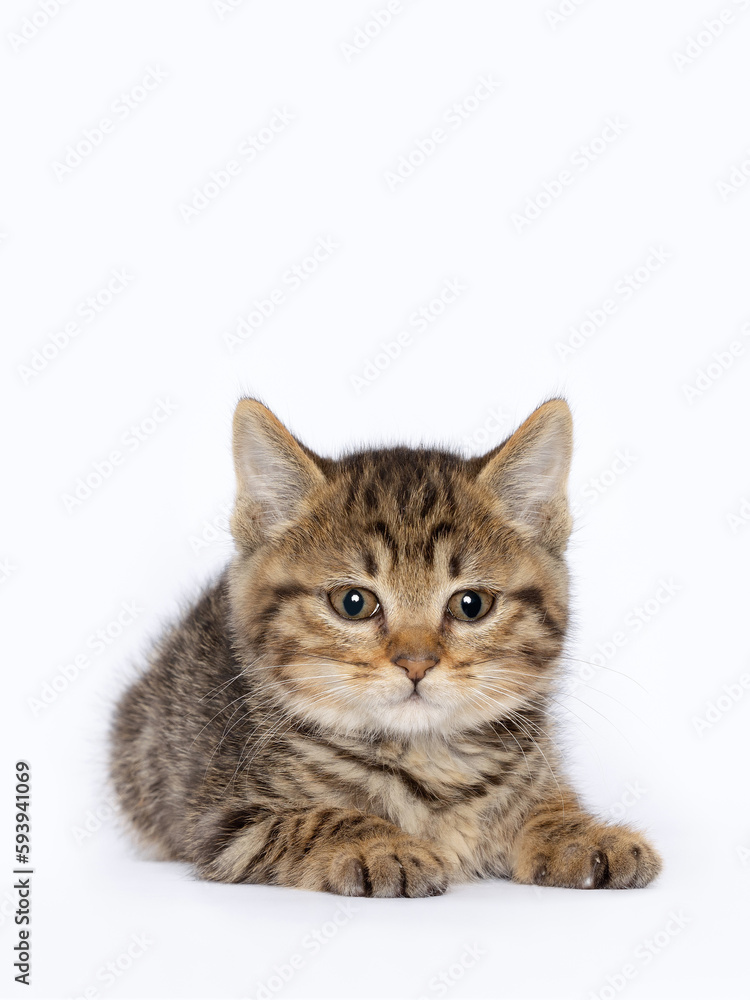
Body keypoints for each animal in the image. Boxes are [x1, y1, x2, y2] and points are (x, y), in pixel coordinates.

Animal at [108, 398, 660, 900]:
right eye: (353, 603)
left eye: (471, 605)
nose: (416, 663)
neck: (429, 761)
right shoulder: (226, 824)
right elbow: (317, 817)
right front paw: (382, 846)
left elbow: (543, 806)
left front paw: (581, 832)